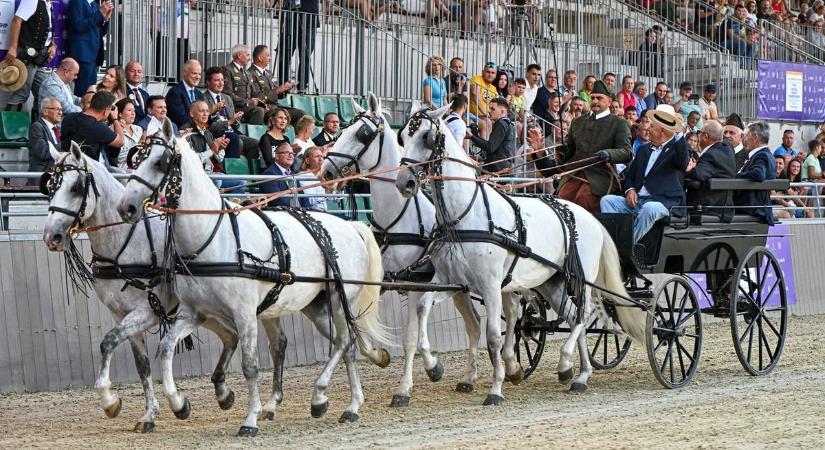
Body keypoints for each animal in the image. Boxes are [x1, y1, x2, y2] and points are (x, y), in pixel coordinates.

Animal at [41, 144, 292, 432]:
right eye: (50, 186)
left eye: (76, 187)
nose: (51, 237)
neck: (125, 244)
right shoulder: (121, 314)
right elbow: (140, 365)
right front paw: (148, 414)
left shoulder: (147, 311)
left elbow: (109, 342)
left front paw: (110, 401)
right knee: (233, 335)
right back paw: (226, 394)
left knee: (275, 343)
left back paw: (268, 402)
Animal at [116, 120, 392, 436]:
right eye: (136, 159)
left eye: (159, 162)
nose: (126, 207)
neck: (213, 237)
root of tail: (350, 225)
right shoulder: (193, 313)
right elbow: (165, 348)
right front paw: (179, 403)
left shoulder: (245, 313)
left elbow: (250, 366)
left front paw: (250, 419)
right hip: (316, 305)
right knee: (344, 344)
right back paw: (340, 402)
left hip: (338, 296)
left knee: (345, 341)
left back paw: (334, 399)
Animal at [316, 93, 482, 406]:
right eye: (341, 129)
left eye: (362, 133)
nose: (326, 171)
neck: (396, 217)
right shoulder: (382, 282)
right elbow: (359, 324)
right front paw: (378, 356)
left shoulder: (417, 284)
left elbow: (410, 338)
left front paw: (411, 383)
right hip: (460, 288)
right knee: (474, 323)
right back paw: (470, 377)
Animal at [396, 106, 648, 404]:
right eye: (402, 136)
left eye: (427, 137)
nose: (404, 182)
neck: (466, 216)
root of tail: (591, 218)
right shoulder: (453, 281)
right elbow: (423, 306)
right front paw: (433, 367)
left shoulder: (491, 285)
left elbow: (493, 336)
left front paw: (495, 389)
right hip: (551, 283)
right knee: (573, 316)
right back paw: (580, 375)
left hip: (580, 279)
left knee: (584, 315)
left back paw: (566, 364)